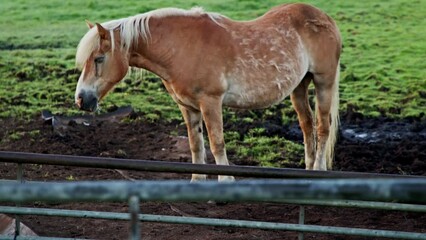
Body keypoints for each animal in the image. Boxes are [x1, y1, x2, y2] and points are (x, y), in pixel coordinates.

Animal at [75, 3, 342, 182]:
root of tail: (325, 18)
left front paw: (225, 181)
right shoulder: (187, 106)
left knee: (322, 127)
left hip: (324, 82)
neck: (181, 47)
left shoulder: (210, 101)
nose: (81, 99)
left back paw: (318, 171)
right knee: (307, 126)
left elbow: (216, 142)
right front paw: (197, 180)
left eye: (98, 58)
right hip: (299, 86)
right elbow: (196, 144)